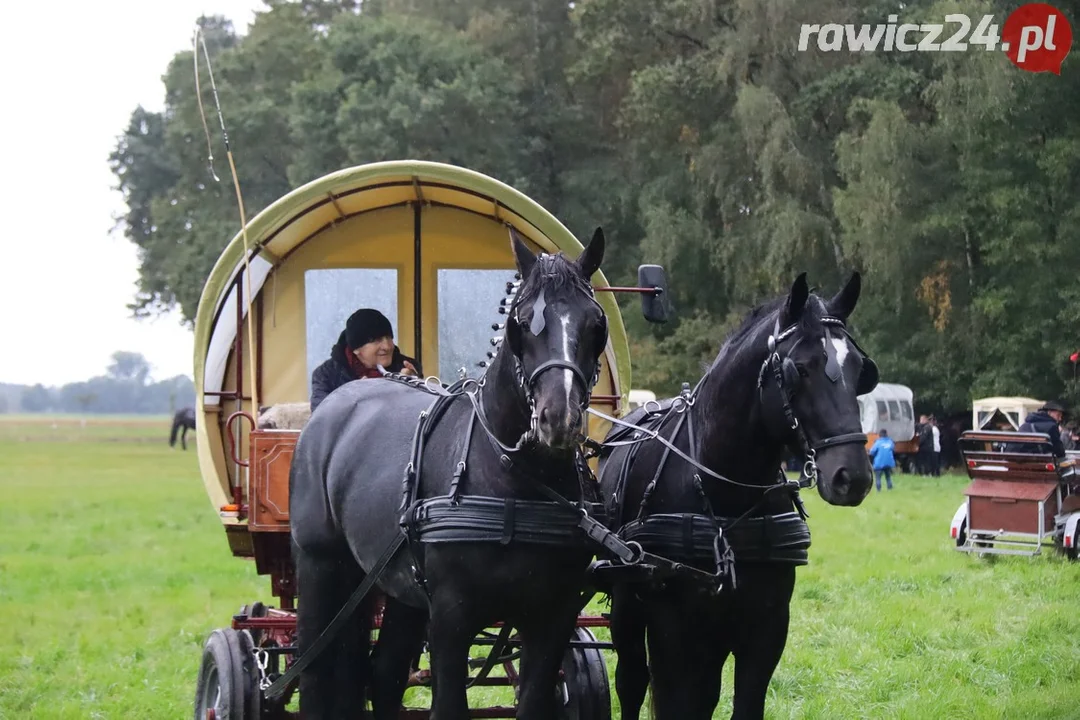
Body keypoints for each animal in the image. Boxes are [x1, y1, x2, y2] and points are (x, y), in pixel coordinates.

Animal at [287, 229, 609, 720]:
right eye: (521, 323)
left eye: (595, 324)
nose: (559, 419)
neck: (515, 484)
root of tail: (336, 405)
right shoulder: (452, 618)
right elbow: (449, 704)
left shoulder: (552, 617)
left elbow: (535, 700)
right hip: (320, 566)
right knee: (316, 671)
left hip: (396, 588)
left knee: (383, 674)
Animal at [596, 273, 881, 716]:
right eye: (799, 369)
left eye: (858, 370)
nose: (852, 477)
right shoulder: (673, 628)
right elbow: (676, 703)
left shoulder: (766, 627)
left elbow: (743, 703)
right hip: (629, 603)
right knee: (631, 681)